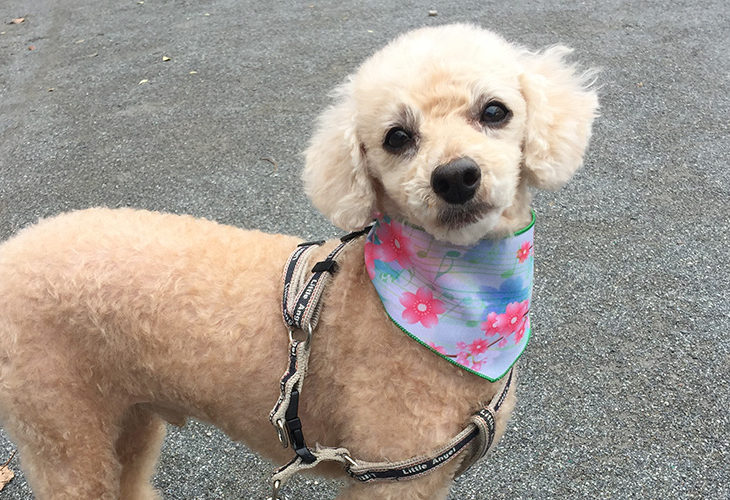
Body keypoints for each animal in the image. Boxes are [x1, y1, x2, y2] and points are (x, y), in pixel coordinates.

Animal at [0, 24, 597, 499]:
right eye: (397, 137)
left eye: (495, 111)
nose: (455, 176)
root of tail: (12, 249)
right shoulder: (390, 475)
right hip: (62, 427)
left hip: (128, 417)